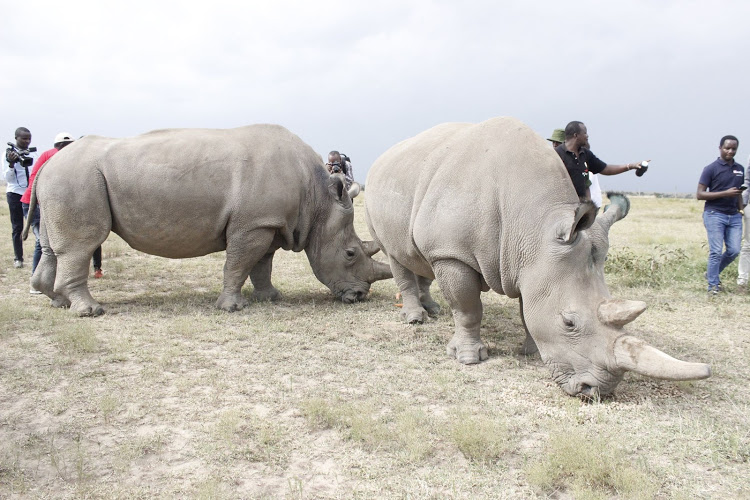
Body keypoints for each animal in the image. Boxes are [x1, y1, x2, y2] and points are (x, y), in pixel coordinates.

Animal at [23, 123, 394, 314]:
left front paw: (271, 298)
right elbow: (238, 264)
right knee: (83, 245)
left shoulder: (268, 222)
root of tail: (47, 165)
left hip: (63, 179)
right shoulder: (254, 224)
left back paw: (58, 302)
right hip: (76, 177)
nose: (359, 296)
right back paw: (90, 311)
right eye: (350, 253)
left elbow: (262, 264)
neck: (318, 201)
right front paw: (232, 308)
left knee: (53, 246)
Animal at [368, 117, 712, 398]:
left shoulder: (533, 261)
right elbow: (467, 308)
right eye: (569, 322)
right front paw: (468, 359)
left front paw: (531, 352)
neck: (534, 223)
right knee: (395, 255)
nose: (594, 391)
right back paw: (415, 319)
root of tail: (383, 156)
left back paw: (433, 309)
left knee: (419, 258)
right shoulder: (452, 254)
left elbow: (527, 309)